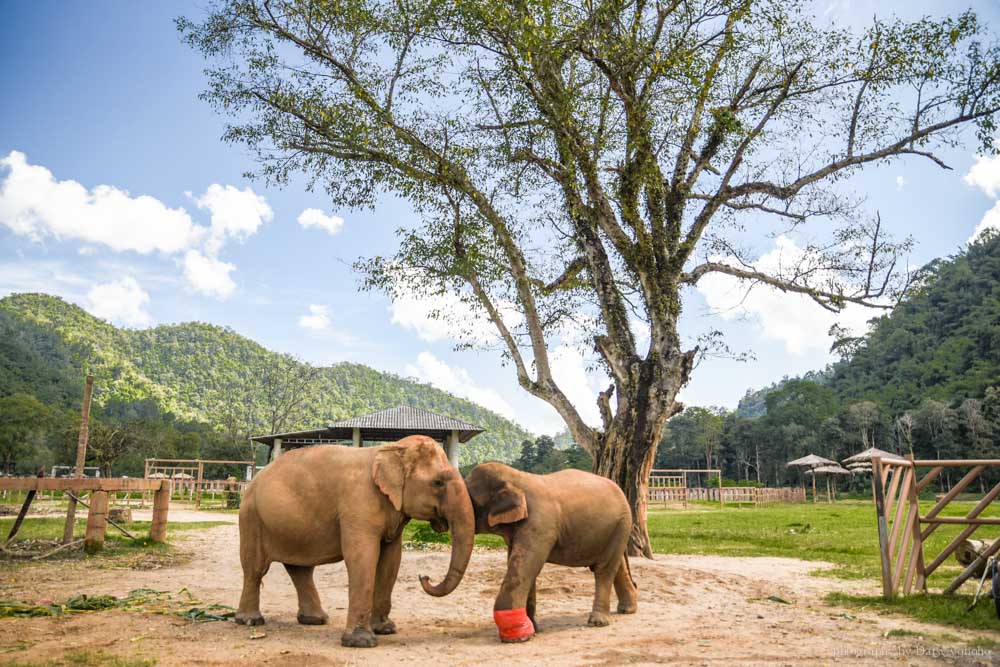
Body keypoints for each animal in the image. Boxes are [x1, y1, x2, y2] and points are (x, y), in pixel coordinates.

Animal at [236, 434, 474, 648]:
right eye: (438, 483)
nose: (424, 577)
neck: (390, 450)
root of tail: (256, 478)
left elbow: (391, 561)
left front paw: (386, 629)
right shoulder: (358, 505)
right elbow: (363, 558)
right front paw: (361, 642)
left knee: (301, 570)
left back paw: (315, 620)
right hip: (251, 517)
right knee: (255, 569)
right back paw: (250, 621)